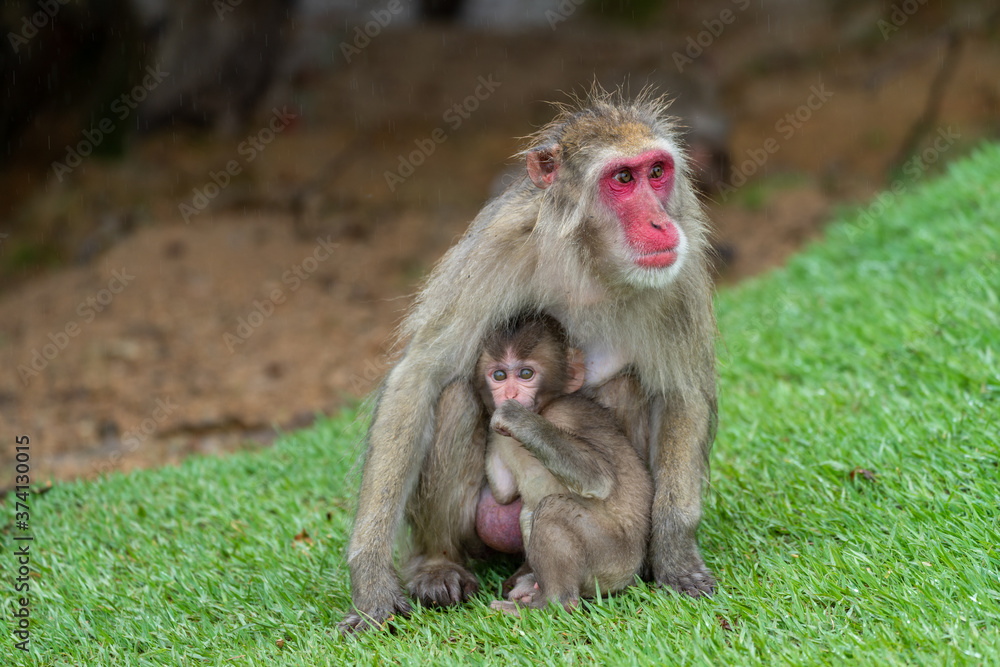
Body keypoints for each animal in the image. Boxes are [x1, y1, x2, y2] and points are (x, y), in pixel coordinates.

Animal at [476, 315, 652, 612]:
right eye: (499, 375)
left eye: (526, 374)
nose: (509, 395)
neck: (542, 410)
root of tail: (631, 574)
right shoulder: (500, 440)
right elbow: (503, 494)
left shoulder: (569, 414)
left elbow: (598, 478)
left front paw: (517, 418)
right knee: (529, 511)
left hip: (612, 559)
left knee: (552, 509)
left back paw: (551, 603)